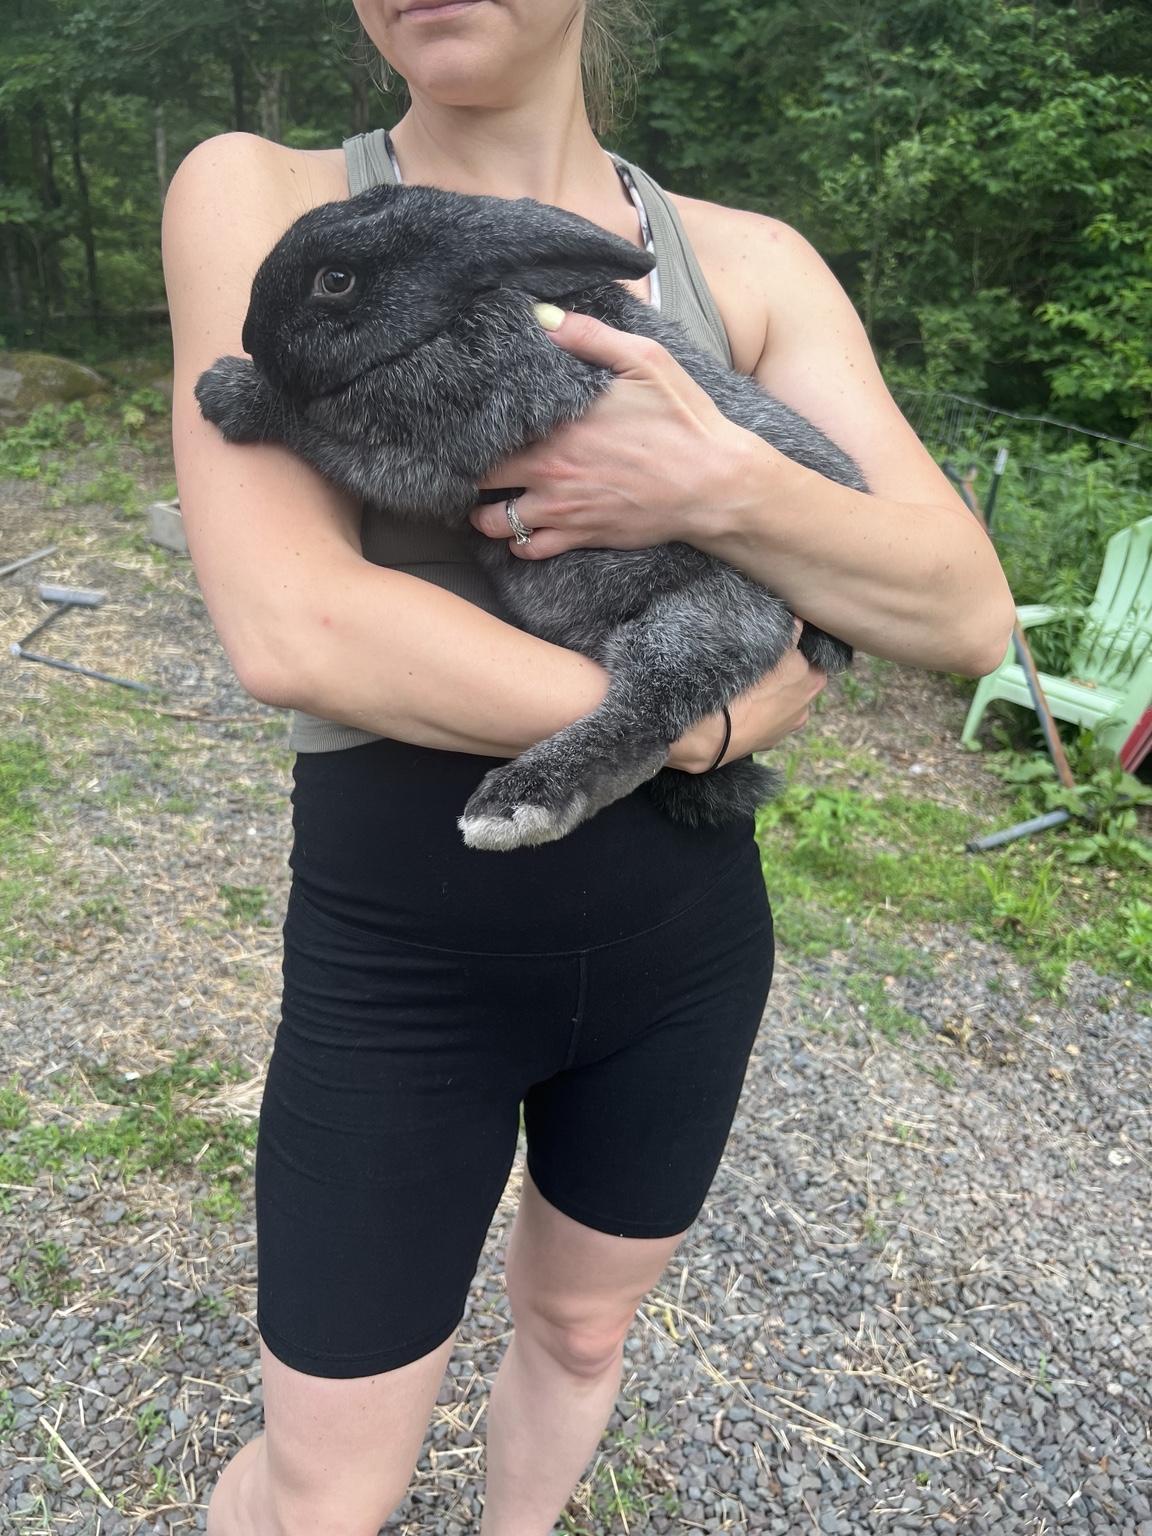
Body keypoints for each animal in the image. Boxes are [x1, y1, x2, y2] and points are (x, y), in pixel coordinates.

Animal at [196, 182, 865, 851]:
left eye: (336, 280)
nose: (252, 340)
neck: (457, 312)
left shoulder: (426, 452)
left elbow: (310, 425)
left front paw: (228, 392)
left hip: (712, 616)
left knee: (645, 720)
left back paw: (517, 806)